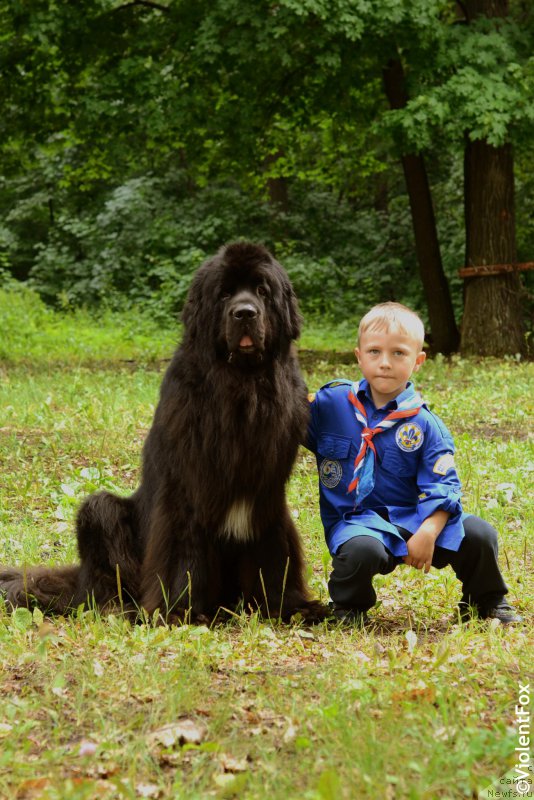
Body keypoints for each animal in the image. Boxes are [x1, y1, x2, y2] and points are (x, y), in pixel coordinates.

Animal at [0, 244, 326, 624]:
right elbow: (182, 552)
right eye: (225, 293)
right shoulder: (185, 491)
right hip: (100, 514)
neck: (241, 387)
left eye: (262, 290)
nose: (244, 313)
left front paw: (286, 606)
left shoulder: (268, 499)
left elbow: (272, 554)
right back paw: (121, 607)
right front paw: (178, 610)